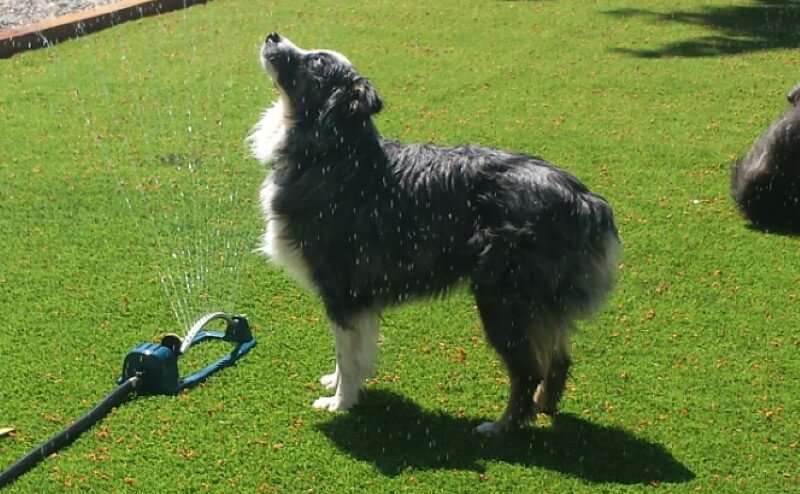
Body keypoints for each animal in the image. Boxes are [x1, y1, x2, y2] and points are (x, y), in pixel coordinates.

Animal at [247, 32, 620, 434]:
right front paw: (341, 385)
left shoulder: (342, 289)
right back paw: (543, 407)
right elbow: (354, 351)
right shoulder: (359, 297)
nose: (272, 35)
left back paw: (502, 426)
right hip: (539, 303)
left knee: (528, 369)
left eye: (315, 61)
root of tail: (584, 198)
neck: (332, 151)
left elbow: (347, 353)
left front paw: (340, 402)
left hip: (504, 299)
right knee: (559, 358)